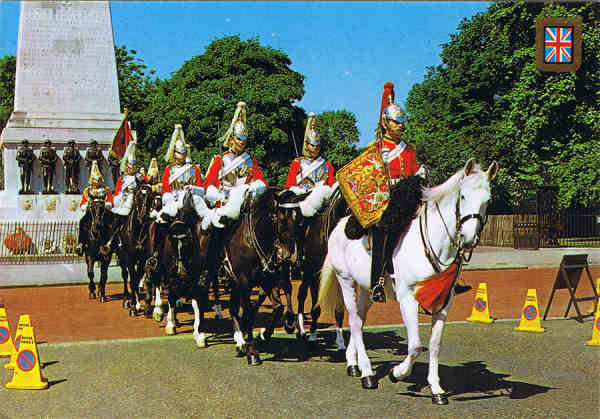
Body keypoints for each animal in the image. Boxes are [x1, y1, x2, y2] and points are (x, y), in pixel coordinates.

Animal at [318, 159, 496, 406]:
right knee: (353, 321)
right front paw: (397, 373)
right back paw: (367, 373)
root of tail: (340, 224)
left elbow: (434, 345)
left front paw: (436, 389)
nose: (469, 239)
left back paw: (354, 364)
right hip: (345, 280)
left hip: (366, 289)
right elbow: (414, 346)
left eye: (488, 200)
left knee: (360, 321)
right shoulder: (407, 299)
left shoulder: (444, 303)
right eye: (462, 196)